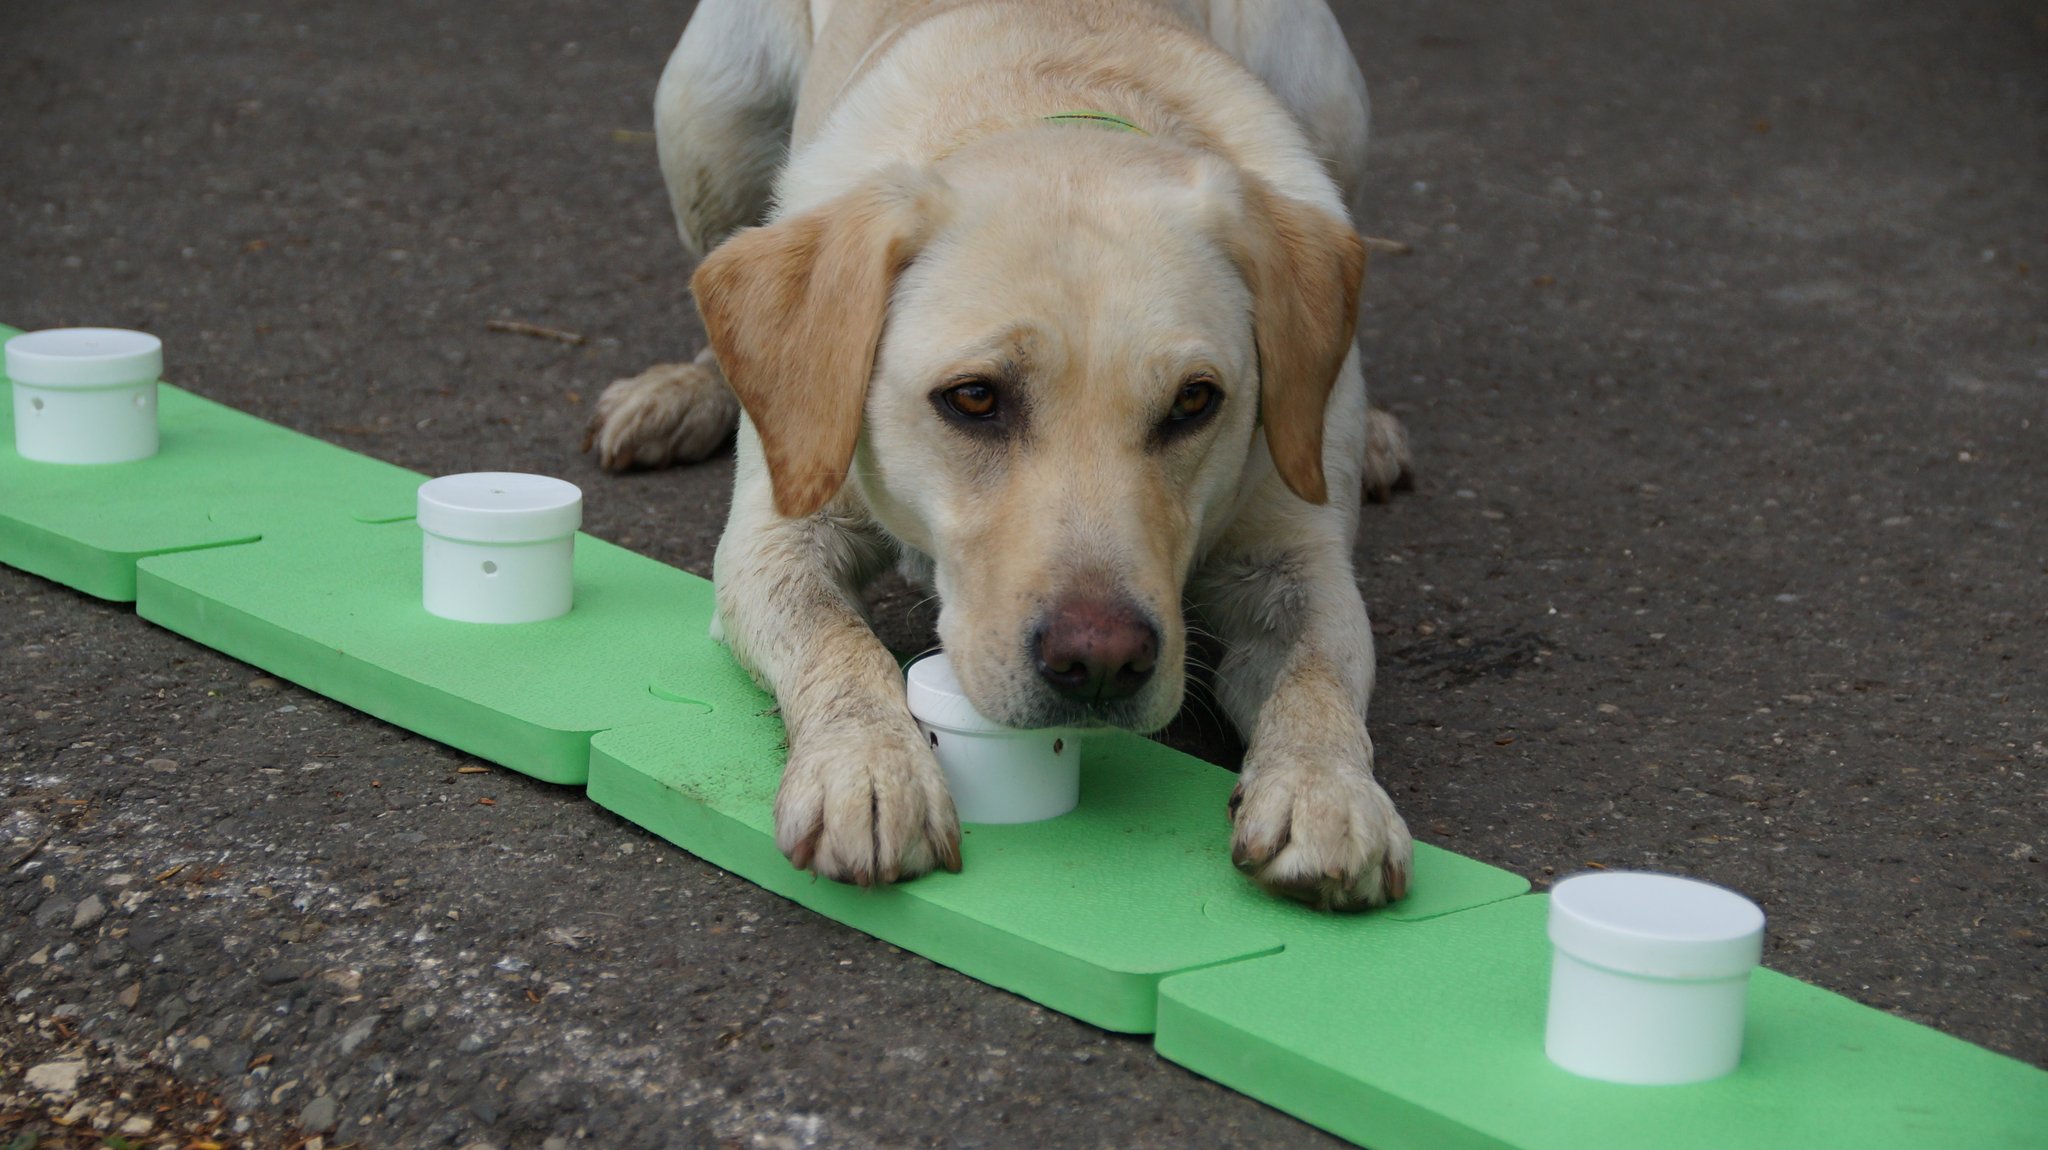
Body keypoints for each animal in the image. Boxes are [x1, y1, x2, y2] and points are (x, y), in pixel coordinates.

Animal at [586, 0, 1415, 910]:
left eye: (1195, 402)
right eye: (975, 398)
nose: (1100, 663)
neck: (1055, 101)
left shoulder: (1300, 561)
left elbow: (1318, 674)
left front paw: (1327, 790)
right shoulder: (773, 538)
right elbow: (839, 645)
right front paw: (869, 769)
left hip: (1330, 104)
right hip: (705, 115)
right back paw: (683, 391)